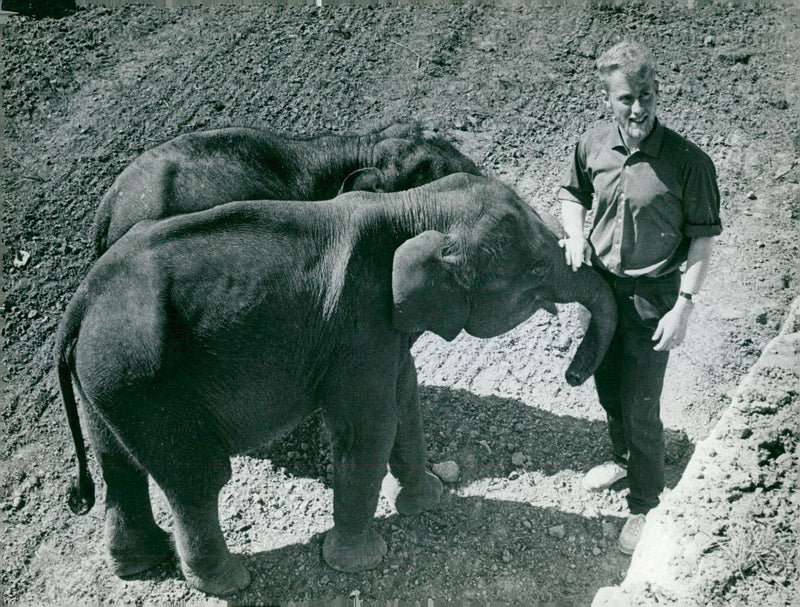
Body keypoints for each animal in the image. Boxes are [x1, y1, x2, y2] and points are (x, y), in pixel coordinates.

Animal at [57, 173, 620, 596]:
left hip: (107, 383)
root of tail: (79, 305)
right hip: (144, 382)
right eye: (536, 270)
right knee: (197, 479)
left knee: (118, 462)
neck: (410, 206)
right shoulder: (356, 325)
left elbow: (405, 398)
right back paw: (230, 583)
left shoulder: (382, 332)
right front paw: (360, 563)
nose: (573, 375)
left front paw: (427, 502)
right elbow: (367, 428)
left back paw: (139, 565)